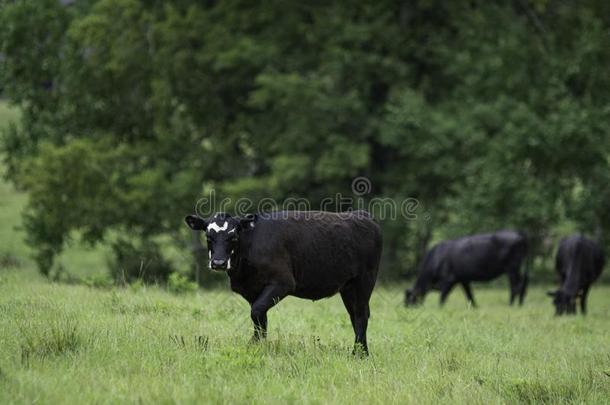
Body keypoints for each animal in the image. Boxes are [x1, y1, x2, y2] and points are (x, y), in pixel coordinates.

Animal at [184, 211, 380, 354]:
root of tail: (362, 215)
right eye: (208, 237)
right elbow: (260, 318)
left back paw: (358, 354)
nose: (218, 263)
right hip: (348, 287)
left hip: (365, 281)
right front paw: (259, 346)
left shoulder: (283, 283)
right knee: (354, 315)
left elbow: (257, 312)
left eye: (233, 236)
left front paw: (253, 344)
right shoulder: (251, 291)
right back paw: (362, 352)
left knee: (361, 315)